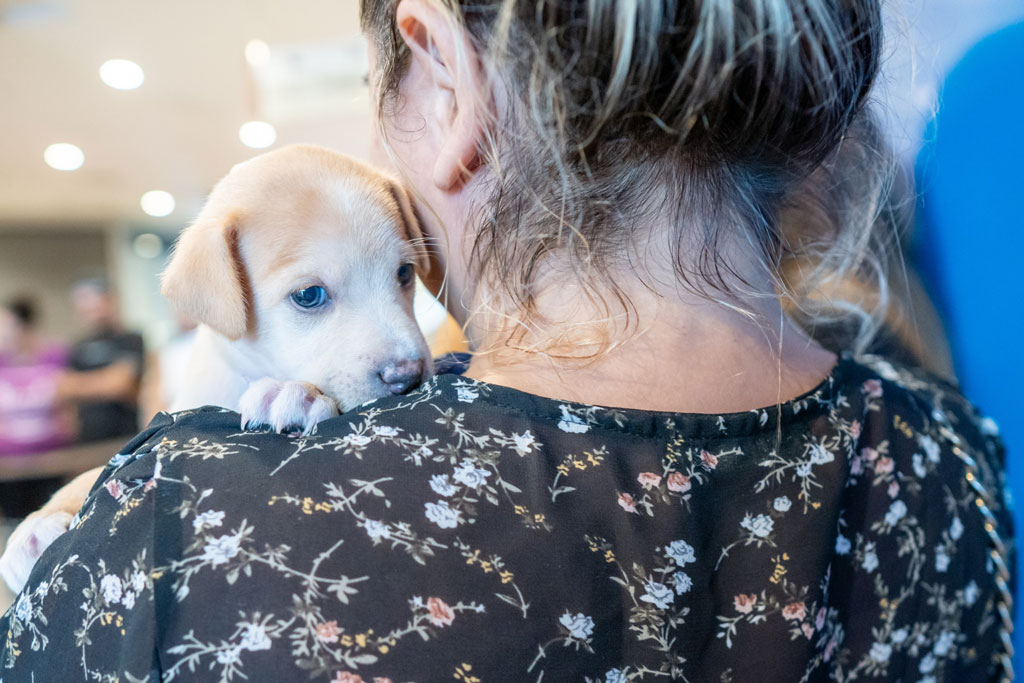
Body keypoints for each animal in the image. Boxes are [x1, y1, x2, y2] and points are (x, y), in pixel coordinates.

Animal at [1, 145, 432, 593]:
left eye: (404, 273)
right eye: (308, 295)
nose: (408, 376)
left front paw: (292, 393)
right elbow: (99, 468)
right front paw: (39, 521)